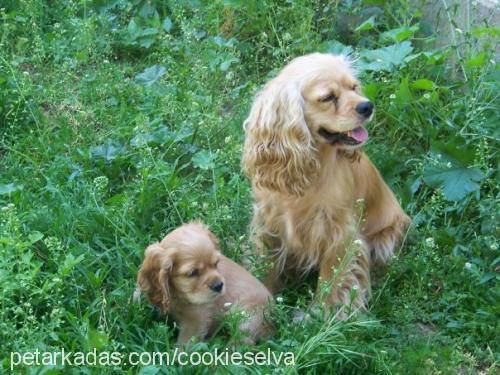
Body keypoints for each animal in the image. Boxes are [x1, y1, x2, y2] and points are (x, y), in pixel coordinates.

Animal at [136, 222, 274, 346]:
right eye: (192, 273)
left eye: (216, 263)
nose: (219, 285)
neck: (180, 296)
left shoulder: (196, 320)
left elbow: (185, 344)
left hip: (247, 318)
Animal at [241, 53, 410, 318]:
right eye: (328, 97)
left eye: (354, 87)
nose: (367, 106)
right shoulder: (268, 223)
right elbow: (266, 264)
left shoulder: (339, 233)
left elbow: (333, 278)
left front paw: (322, 315)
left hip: (385, 238)